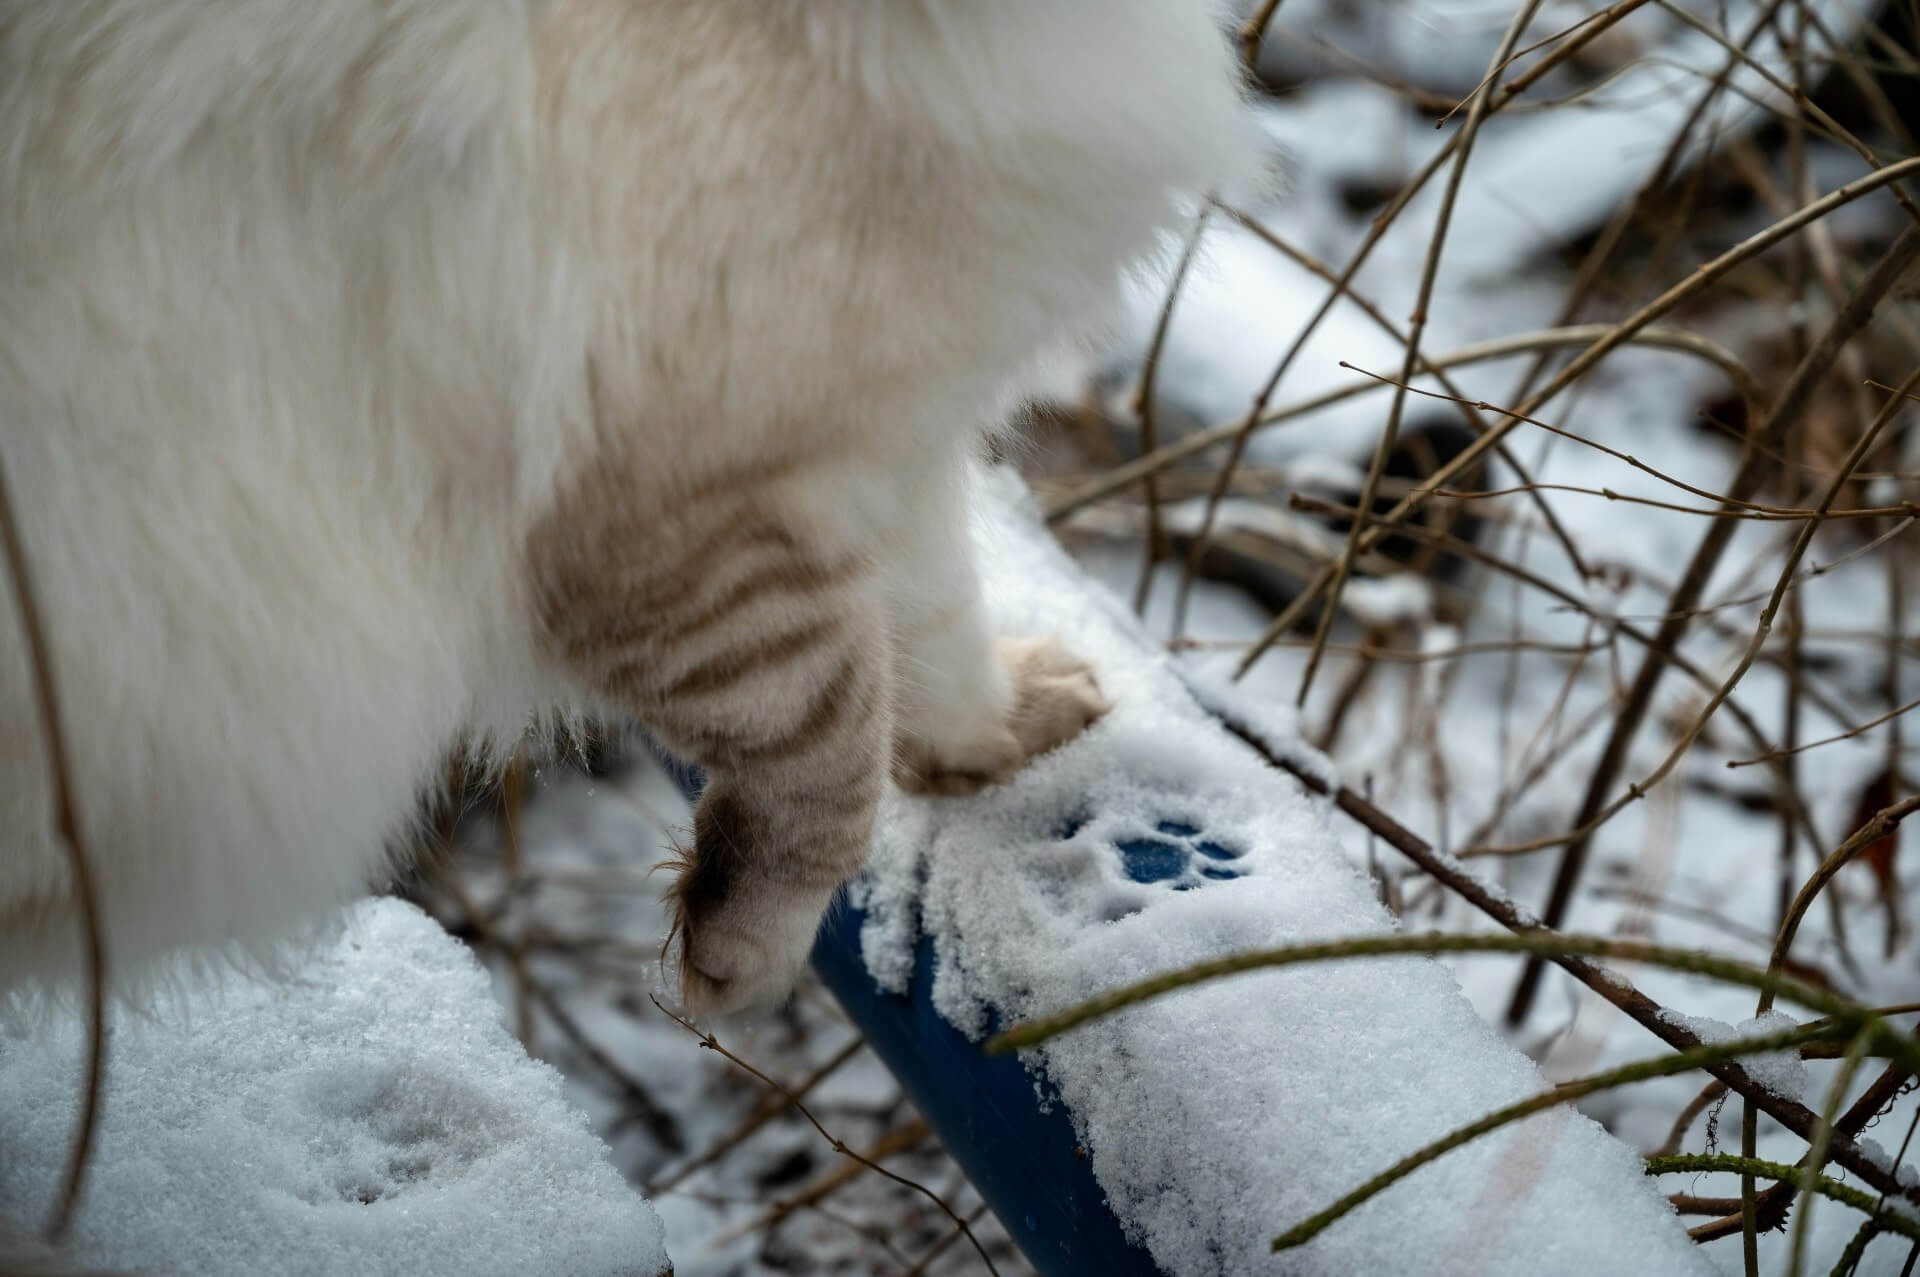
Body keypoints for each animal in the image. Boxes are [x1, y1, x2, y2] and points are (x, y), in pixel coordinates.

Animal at [3, 0, 1259, 1013]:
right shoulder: (686, 513)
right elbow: (835, 745)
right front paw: (734, 963)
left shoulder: (868, 434)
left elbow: (938, 636)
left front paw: (1011, 727)